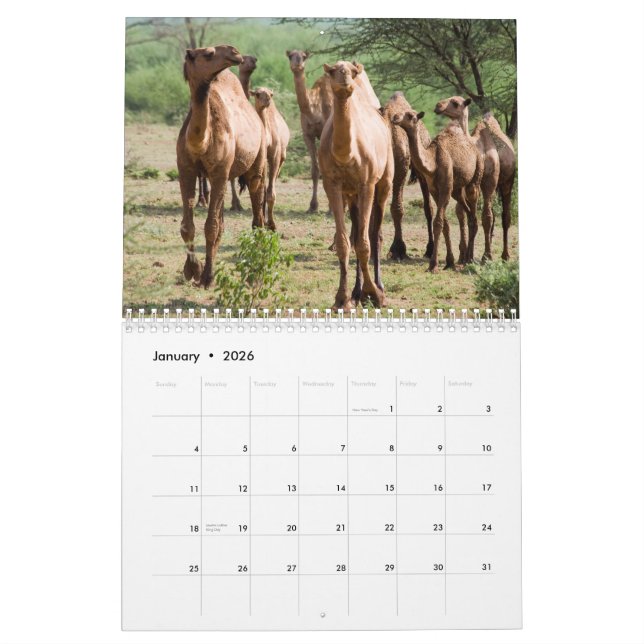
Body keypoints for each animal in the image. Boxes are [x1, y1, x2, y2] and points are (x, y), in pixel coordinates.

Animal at [249, 87, 290, 230]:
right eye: (257, 94)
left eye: (271, 94)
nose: (267, 100)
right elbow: (260, 190)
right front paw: (259, 222)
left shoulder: (275, 156)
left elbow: (270, 193)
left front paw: (272, 224)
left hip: (282, 157)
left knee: (270, 185)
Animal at [286, 50, 333, 213]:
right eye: (290, 56)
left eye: (304, 56)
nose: (297, 64)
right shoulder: (308, 135)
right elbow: (315, 170)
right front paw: (312, 206)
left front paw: (331, 209)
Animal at [319, 61, 393, 309]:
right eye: (333, 71)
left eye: (352, 71)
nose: (345, 78)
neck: (346, 154)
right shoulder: (331, 185)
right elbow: (344, 243)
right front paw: (342, 298)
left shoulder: (366, 183)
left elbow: (364, 243)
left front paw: (374, 294)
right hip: (351, 195)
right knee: (356, 230)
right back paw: (356, 291)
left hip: (385, 183)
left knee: (375, 233)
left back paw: (378, 287)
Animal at [391, 107, 483, 272]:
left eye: (410, 115)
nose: (395, 117)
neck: (433, 163)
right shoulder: (435, 191)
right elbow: (445, 224)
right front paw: (449, 262)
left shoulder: (445, 189)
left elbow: (438, 222)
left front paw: (433, 265)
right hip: (457, 190)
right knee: (468, 213)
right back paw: (465, 258)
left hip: (475, 177)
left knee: (473, 213)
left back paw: (470, 259)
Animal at [435, 96, 499, 262]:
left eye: (455, 103)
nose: (438, 106)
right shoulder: (461, 184)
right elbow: (461, 214)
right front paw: (463, 255)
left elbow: (472, 216)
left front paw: (468, 256)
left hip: (490, 181)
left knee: (487, 215)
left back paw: (486, 255)